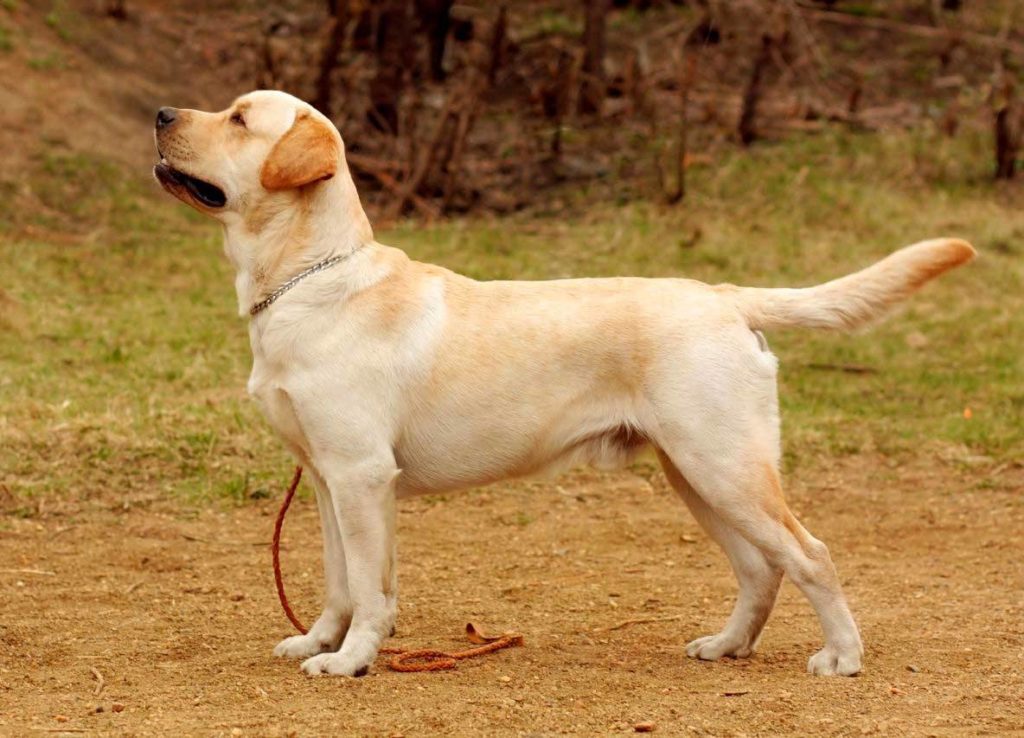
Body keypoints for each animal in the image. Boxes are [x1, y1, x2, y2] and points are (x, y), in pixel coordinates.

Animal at [151, 90, 974, 675]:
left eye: (238, 119)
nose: (159, 114)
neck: (309, 278)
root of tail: (723, 295)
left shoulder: (360, 476)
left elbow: (369, 588)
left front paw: (351, 661)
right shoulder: (327, 480)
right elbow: (340, 582)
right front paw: (320, 643)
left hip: (726, 467)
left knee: (810, 554)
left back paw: (843, 657)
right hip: (696, 475)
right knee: (759, 568)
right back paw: (725, 646)